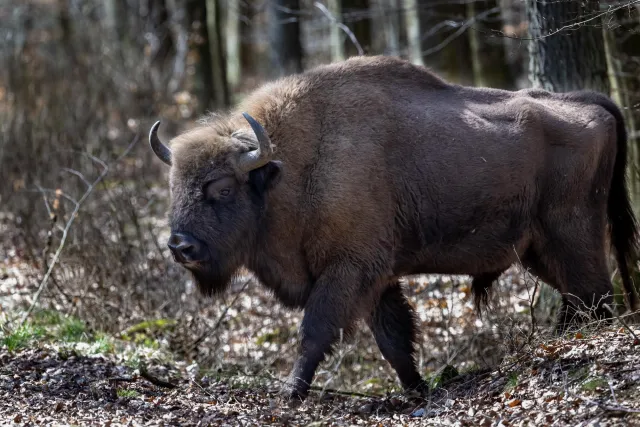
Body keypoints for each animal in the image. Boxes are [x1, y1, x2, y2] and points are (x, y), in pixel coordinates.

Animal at [149, 54, 636, 402]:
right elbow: (394, 339)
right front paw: (418, 390)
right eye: (173, 186)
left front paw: (289, 394)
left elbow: (316, 331)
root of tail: (588, 102)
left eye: (221, 187)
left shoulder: (348, 270)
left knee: (595, 295)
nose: (179, 246)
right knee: (581, 298)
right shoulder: (378, 279)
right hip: (537, 250)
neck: (292, 168)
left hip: (572, 233)